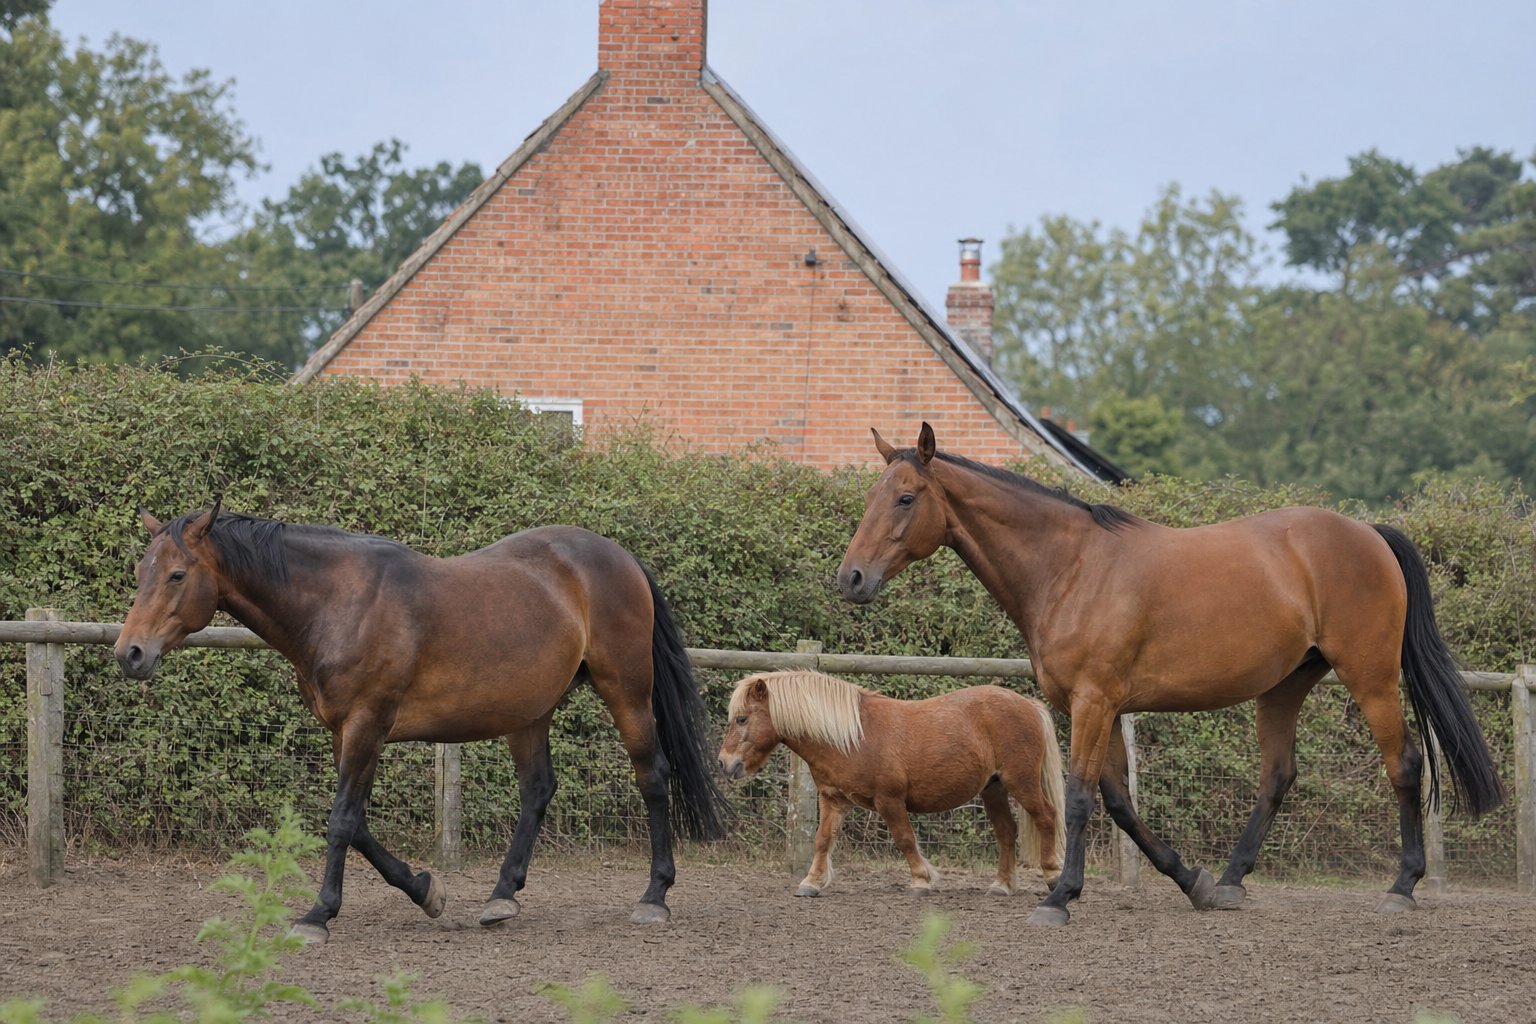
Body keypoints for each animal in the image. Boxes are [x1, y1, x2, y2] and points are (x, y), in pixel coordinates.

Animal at [115, 502, 726, 942]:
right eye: (140, 571)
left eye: (176, 575)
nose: (130, 654)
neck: (338, 604)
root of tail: (620, 557)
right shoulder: (344, 732)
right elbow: (358, 823)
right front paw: (426, 890)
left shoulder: (367, 725)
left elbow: (341, 821)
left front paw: (318, 915)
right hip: (528, 712)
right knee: (538, 789)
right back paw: (502, 895)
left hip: (627, 692)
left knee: (652, 777)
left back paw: (654, 897)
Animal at [717, 670, 1065, 897]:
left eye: (742, 719)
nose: (724, 763)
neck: (852, 738)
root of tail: (1029, 705)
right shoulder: (833, 800)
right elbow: (822, 840)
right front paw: (811, 883)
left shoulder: (889, 801)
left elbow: (905, 840)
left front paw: (921, 880)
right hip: (993, 788)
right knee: (1007, 831)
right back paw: (1002, 886)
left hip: (1021, 782)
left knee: (1046, 817)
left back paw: (1052, 875)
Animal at [835, 423, 1504, 926]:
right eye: (870, 498)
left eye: (905, 498)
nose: (851, 579)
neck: (1070, 568)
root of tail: (1369, 533)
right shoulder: (1097, 708)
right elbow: (1119, 802)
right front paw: (1191, 881)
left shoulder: (1094, 703)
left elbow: (1080, 798)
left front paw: (1059, 899)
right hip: (1284, 686)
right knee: (1278, 776)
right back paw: (1230, 882)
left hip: (1370, 678)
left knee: (1405, 764)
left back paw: (1402, 887)